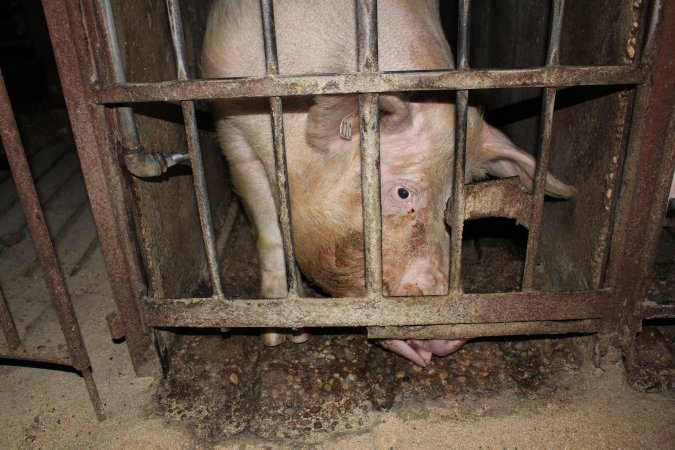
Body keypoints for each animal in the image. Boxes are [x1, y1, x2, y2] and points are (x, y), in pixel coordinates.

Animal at [201, 0, 576, 366]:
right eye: (403, 192)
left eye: (453, 204)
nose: (454, 334)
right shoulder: (230, 123)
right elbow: (268, 230)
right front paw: (283, 336)